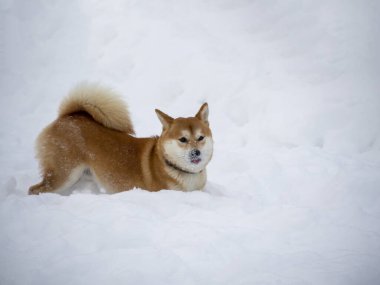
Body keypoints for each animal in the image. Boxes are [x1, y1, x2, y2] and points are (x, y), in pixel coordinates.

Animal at [29, 82, 214, 193]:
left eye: (200, 137)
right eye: (182, 139)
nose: (195, 153)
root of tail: (67, 116)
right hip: (65, 174)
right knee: (34, 189)